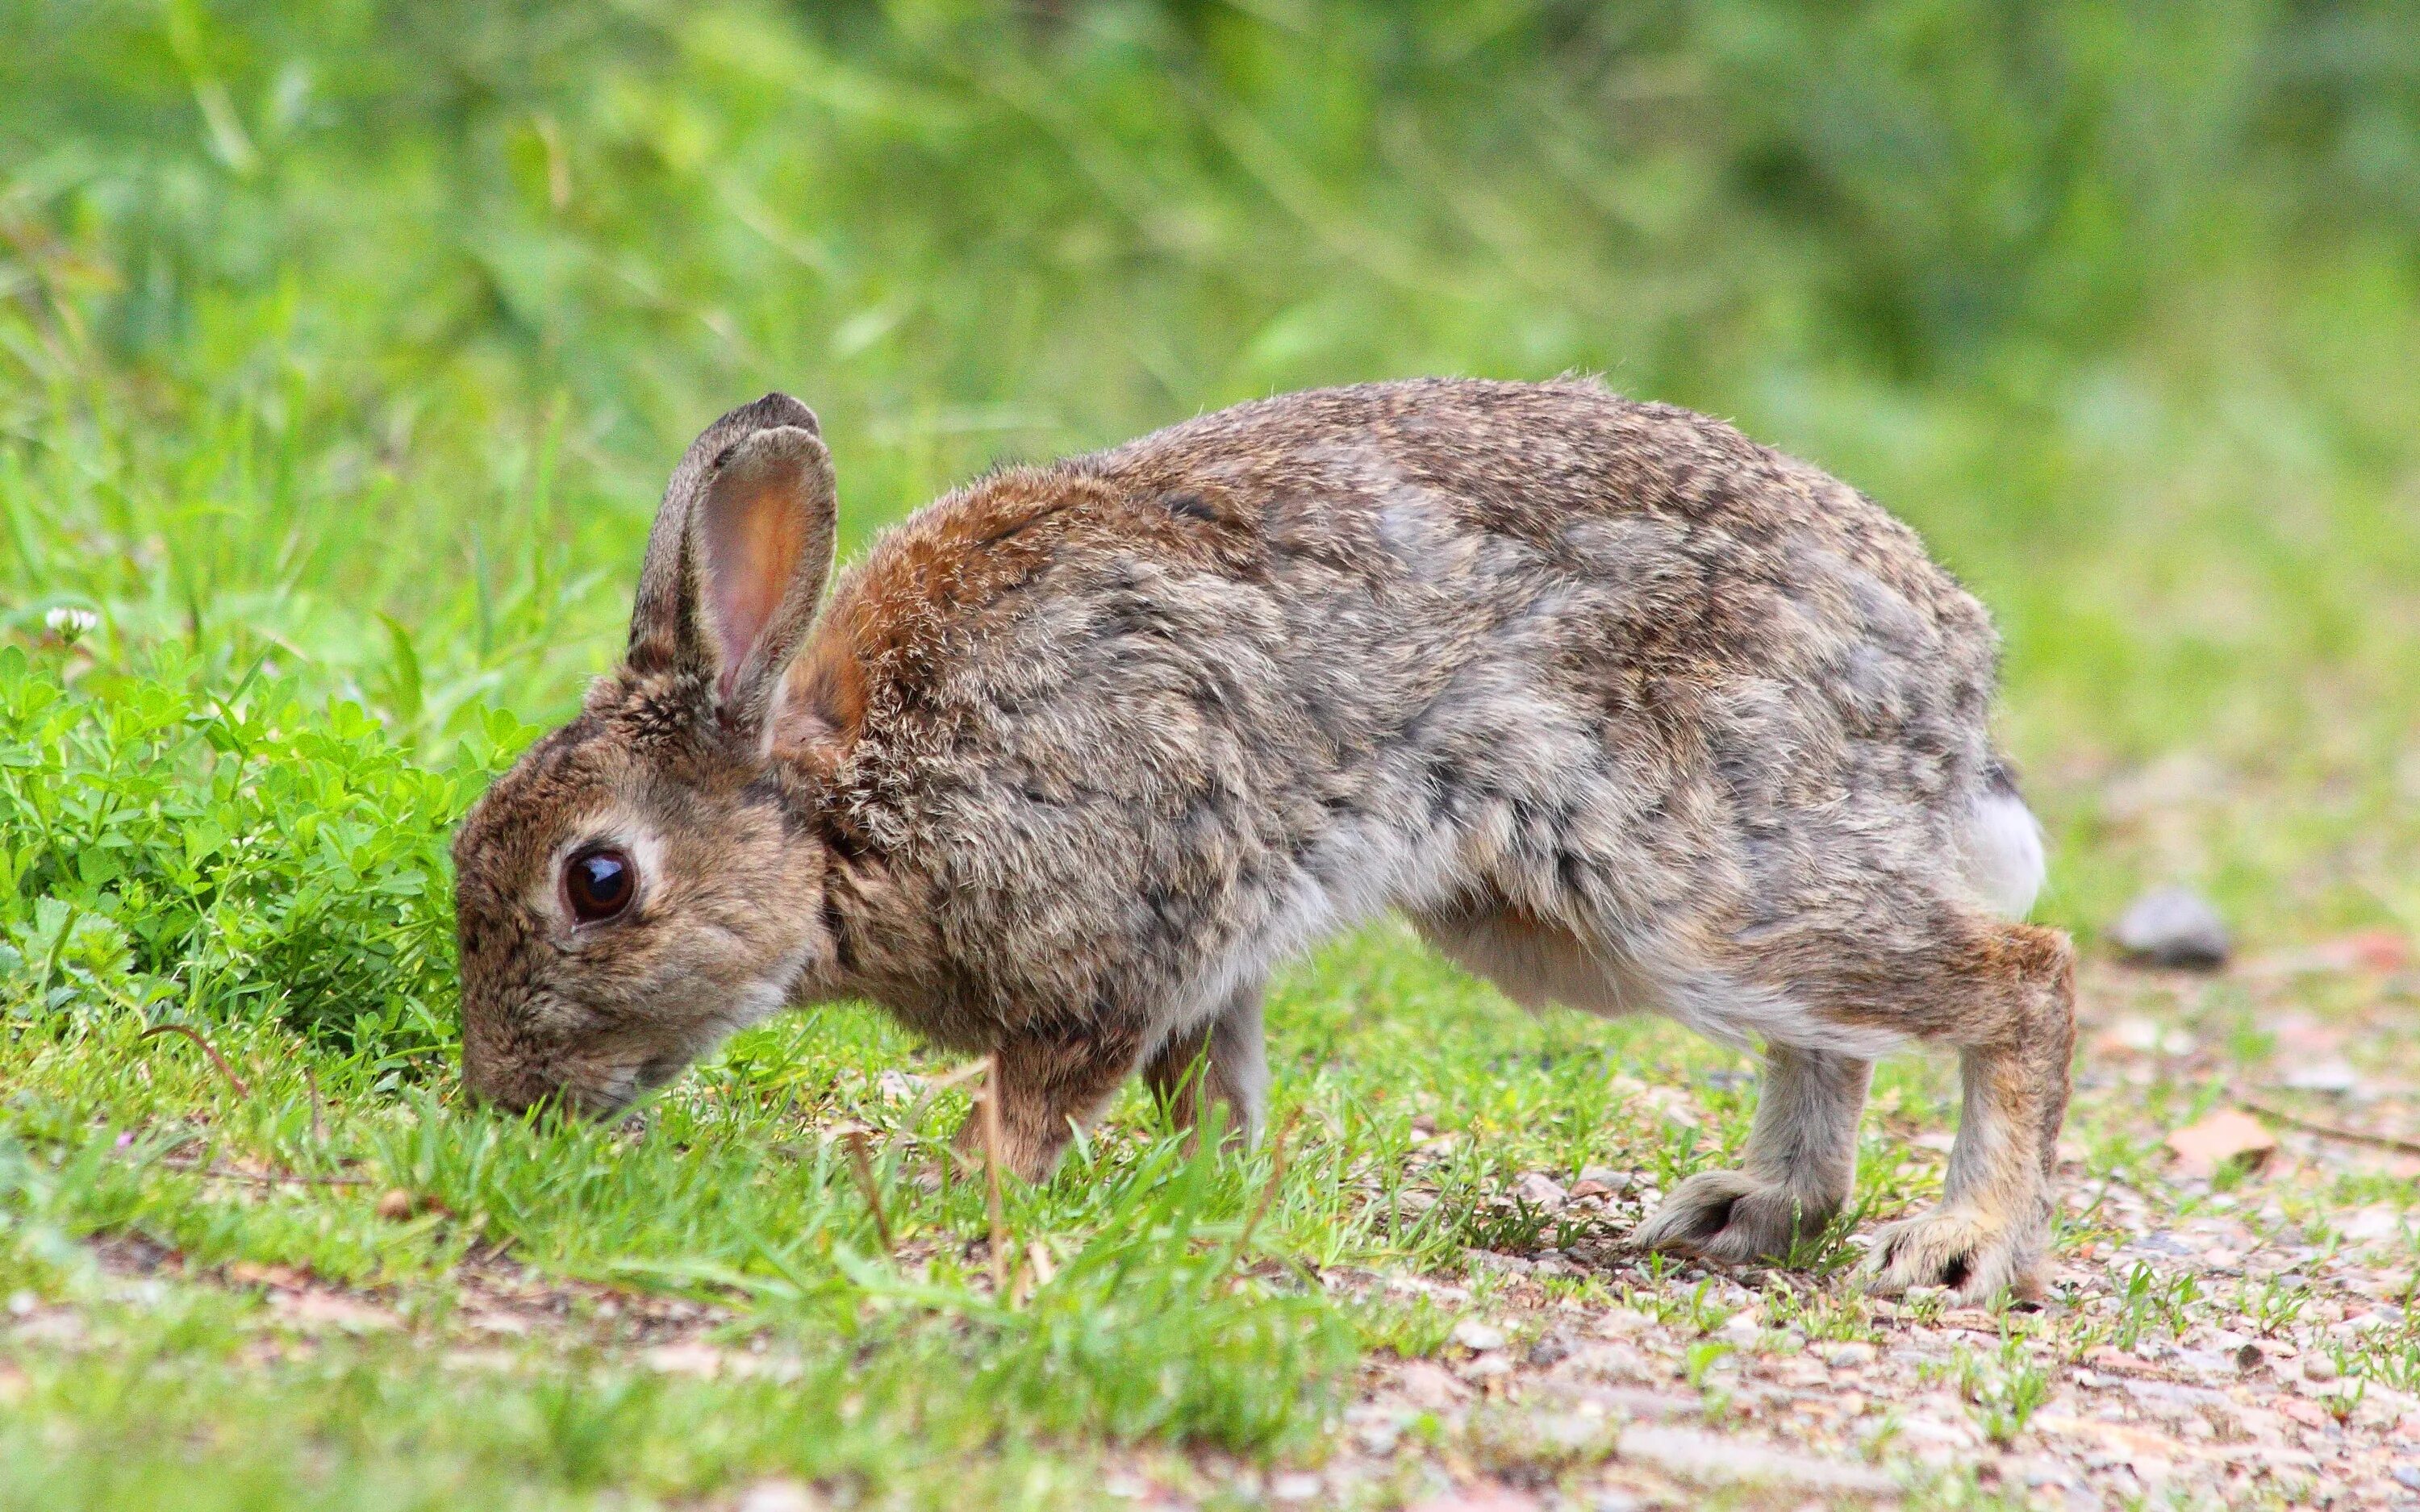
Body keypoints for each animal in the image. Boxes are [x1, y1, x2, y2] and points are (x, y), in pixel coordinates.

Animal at [457, 375, 2081, 1297]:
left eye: (597, 882)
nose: (502, 1099)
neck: (843, 814)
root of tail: (1947, 657)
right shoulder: (1208, 957)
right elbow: (1210, 1090)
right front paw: (1215, 1192)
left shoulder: (1113, 940)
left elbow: (1036, 1100)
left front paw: (945, 1188)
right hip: (1593, 911)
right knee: (1840, 1032)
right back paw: (1764, 1207)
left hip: (1686, 882)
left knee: (2024, 975)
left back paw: (1961, 1240)